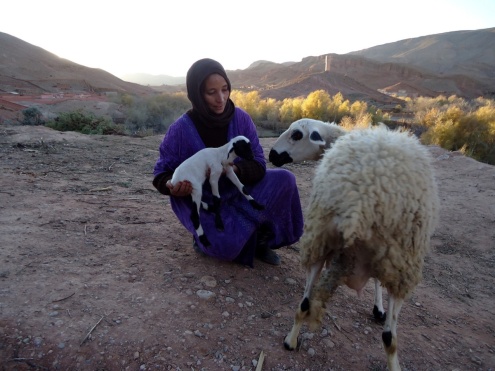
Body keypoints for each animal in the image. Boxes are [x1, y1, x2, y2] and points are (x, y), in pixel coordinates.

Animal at [270, 119, 440, 371]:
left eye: (297, 135)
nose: (271, 154)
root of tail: (360, 200)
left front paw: (378, 308)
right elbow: (378, 282)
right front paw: (379, 308)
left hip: (323, 237)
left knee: (305, 303)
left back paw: (291, 341)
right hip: (403, 261)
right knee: (390, 337)